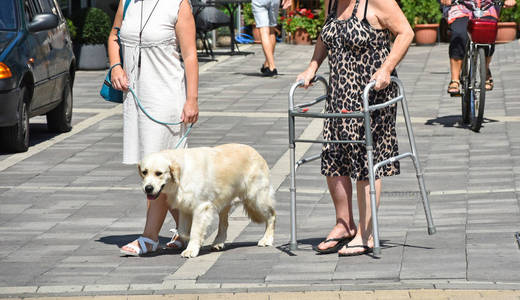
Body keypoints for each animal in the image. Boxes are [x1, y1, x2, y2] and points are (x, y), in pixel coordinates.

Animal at [138, 143, 276, 258]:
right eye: (144, 172)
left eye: (159, 173)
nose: (148, 188)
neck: (181, 174)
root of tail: (256, 152)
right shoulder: (185, 207)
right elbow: (183, 231)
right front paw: (191, 241)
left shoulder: (201, 207)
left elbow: (195, 230)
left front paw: (191, 249)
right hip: (225, 200)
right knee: (224, 224)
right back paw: (218, 242)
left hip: (256, 198)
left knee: (272, 216)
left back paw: (267, 239)